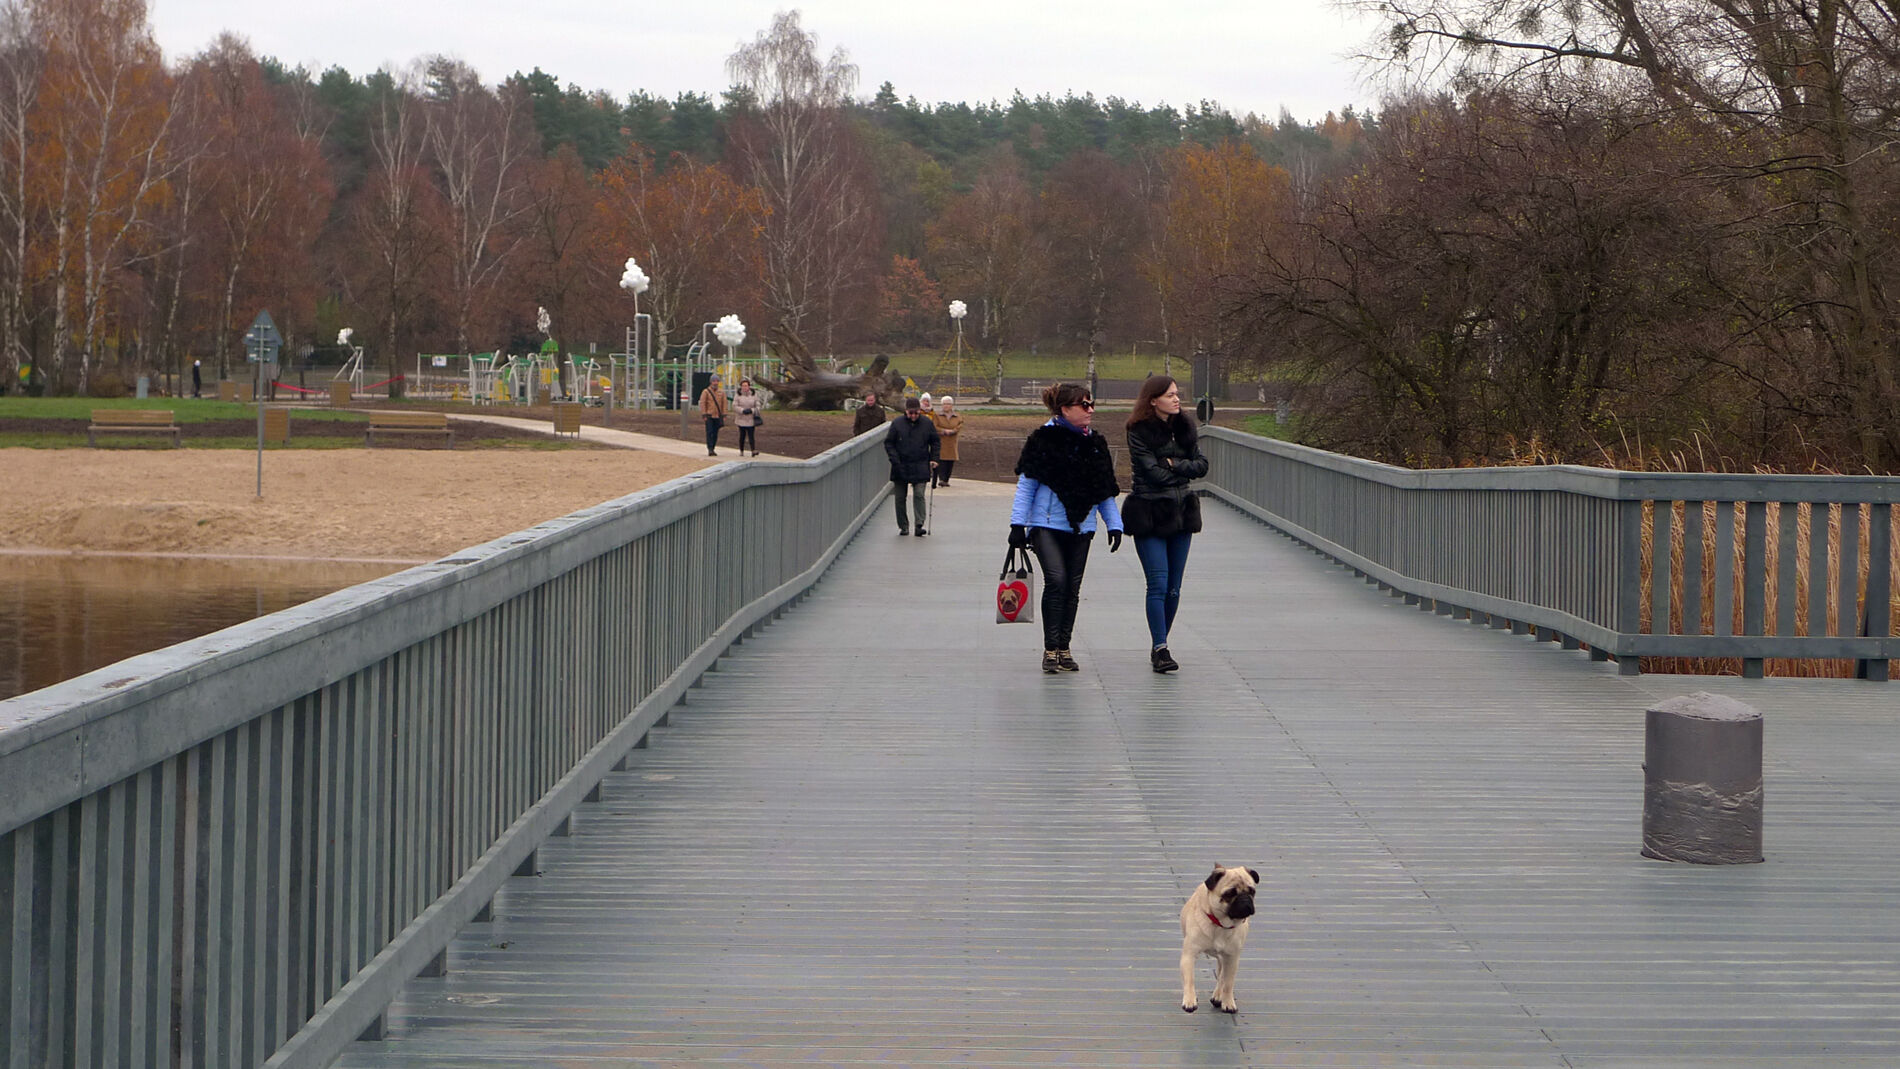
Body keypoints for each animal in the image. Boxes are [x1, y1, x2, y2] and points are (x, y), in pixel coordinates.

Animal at [1170, 865, 1261, 1017]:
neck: (1220, 925)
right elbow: (1190, 979)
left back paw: (1218, 996)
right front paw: (1190, 1000)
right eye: (1229, 894)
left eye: (1252, 891)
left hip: (1225, 958)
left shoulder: (1232, 958)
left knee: (1222, 976)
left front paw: (1228, 1002)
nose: (1245, 900)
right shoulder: (1189, 955)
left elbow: (1228, 983)